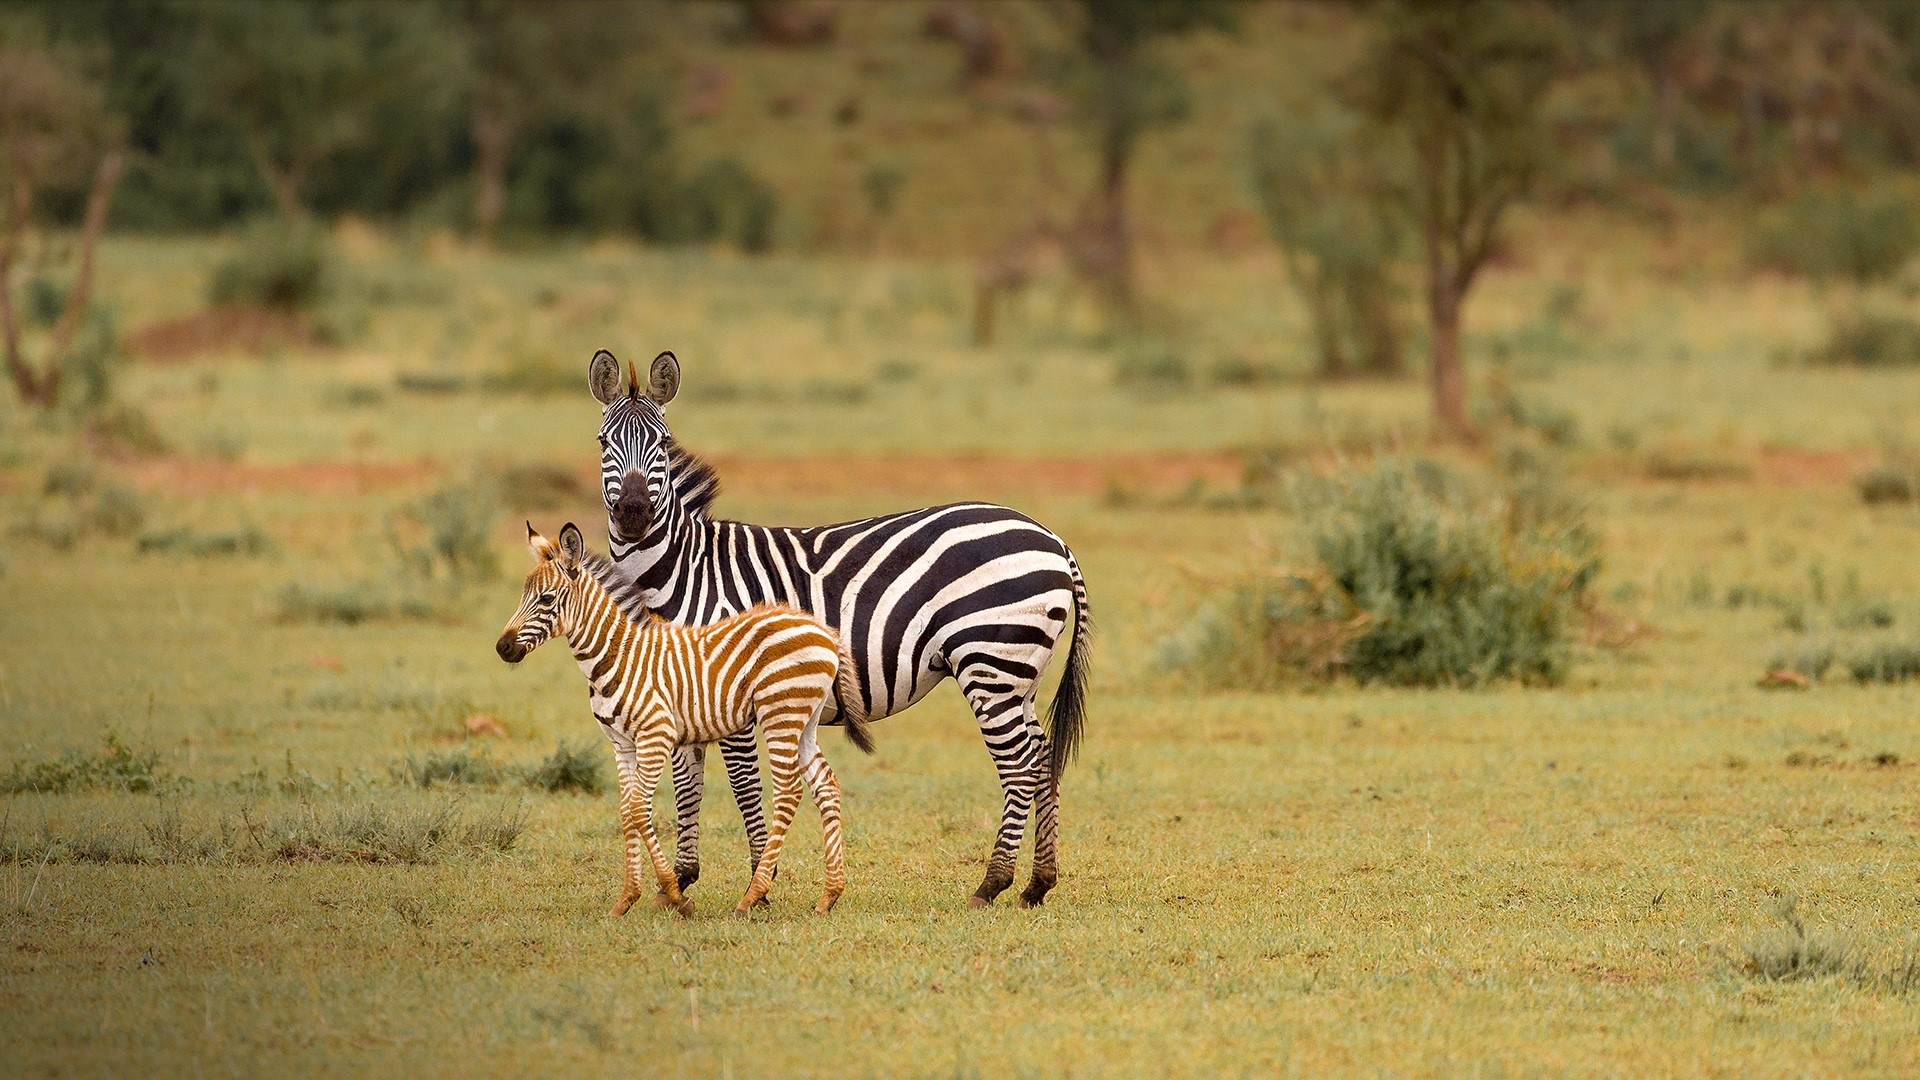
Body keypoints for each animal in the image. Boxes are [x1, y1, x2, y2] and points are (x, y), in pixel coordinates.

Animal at [491, 518, 875, 910]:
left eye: (546, 599)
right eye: (523, 595)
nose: (502, 647)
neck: (619, 655)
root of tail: (824, 631)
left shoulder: (655, 735)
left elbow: (639, 809)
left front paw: (674, 893)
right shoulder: (622, 744)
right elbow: (628, 812)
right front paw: (626, 900)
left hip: (780, 713)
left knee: (787, 791)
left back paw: (753, 895)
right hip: (804, 720)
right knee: (825, 784)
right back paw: (829, 895)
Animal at [583, 349, 1090, 903]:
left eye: (661, 444)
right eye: (603, 442)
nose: (634, 514)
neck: (681, 571)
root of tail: (1053, 539)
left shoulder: (730, 691)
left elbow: (743, 785)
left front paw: (759, 883)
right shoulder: (680, 688)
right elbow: (687, 781)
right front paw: (680, 880)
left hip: (989, 662)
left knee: (1019, 765)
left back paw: (992, 883)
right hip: (1021, 671)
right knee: (1042, 756)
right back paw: (1038, 882)